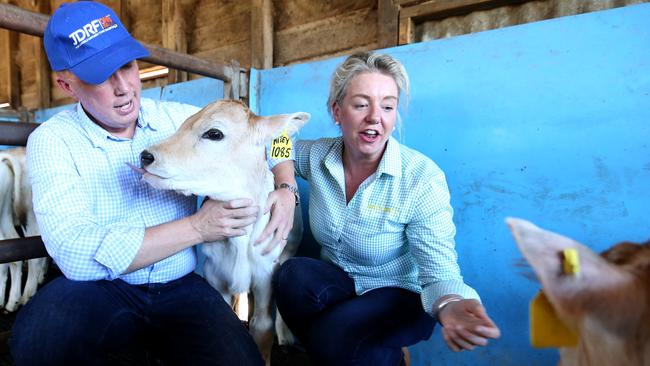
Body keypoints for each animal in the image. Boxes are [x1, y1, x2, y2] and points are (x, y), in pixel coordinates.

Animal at [137, 98, 308, 364]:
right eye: (182, 125)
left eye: (214, 133)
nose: (146, 156)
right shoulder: (215, 274)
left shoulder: (265, 275)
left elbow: (263, 326)